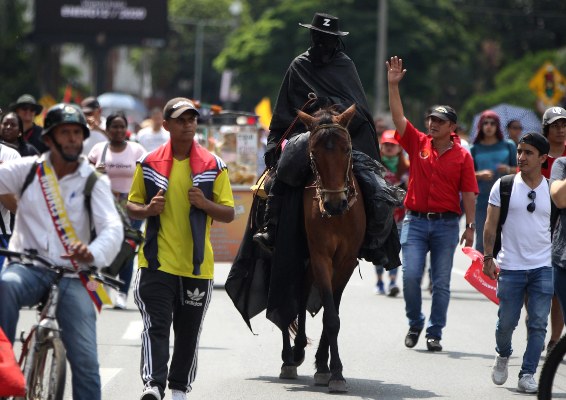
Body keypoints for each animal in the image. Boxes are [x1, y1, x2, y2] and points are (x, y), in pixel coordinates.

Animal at [280, 104, 368, 394]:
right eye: (313, 153)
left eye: (347, 150)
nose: (334, 204)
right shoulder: (319, 256)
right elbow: (329, 316)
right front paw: (335, 371)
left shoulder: (346, 260)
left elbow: (334, 313)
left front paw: (327, 367)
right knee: (291, 297)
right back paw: (290, 357)